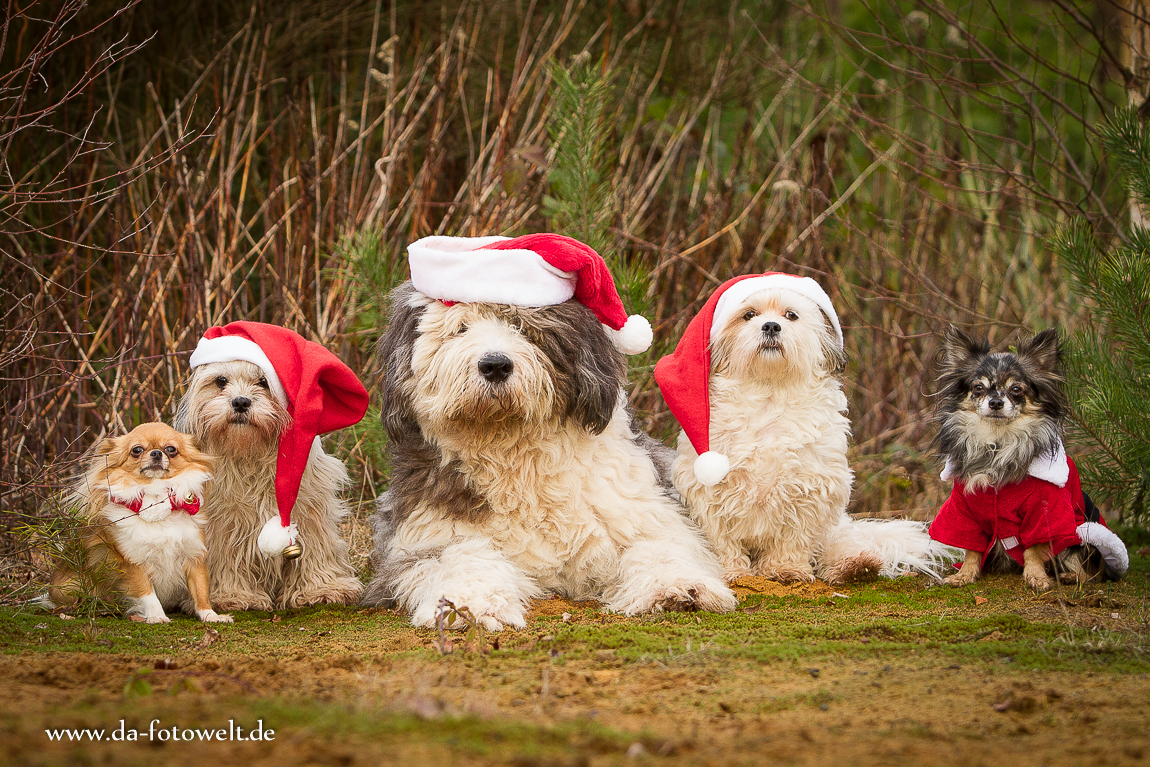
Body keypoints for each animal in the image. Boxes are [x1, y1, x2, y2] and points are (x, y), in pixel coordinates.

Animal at [361, 234, 736, 630]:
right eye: (460, 328)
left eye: (522, 325)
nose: (495, 365)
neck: (512, 450)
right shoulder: (427, 535)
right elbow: (461, 560)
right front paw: (469, 603)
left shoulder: (644, 512)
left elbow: (661, 546)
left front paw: (679, 586)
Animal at [657, 279, 952, 584]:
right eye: (749, 315)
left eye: (791, 315)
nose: (771, 326)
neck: (770, 394)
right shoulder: (708, 494)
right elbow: (721, 541)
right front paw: (732, 571)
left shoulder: (810, 489)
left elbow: (793, 539)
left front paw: (786, 569)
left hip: (834, 525)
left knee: (839, 542)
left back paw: (855, 564)